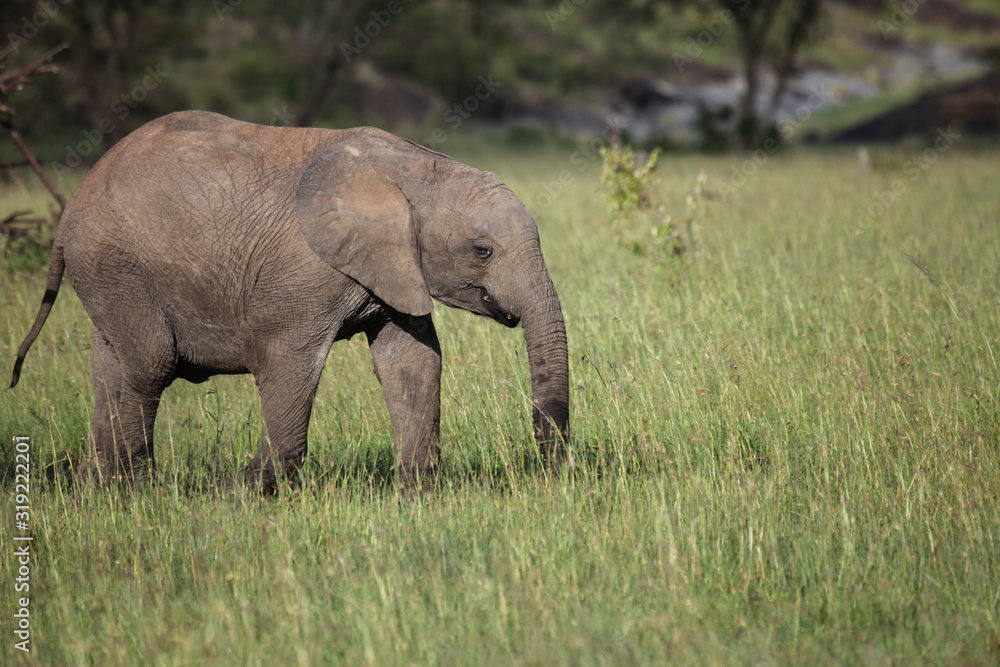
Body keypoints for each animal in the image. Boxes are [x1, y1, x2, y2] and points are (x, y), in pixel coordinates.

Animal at [9, 112, 572, 494]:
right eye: (482, 250)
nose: (548, 468)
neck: (416, 166)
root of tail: (70, 210)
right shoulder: (305, 271)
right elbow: (287, 363)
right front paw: (235, 495)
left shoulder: (392, 267)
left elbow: (412, 363)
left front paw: (418, 494)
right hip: (115, 262)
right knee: (150, 363)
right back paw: (136, 490)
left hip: (107, 275)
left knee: (109, 369)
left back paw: (96, 489)